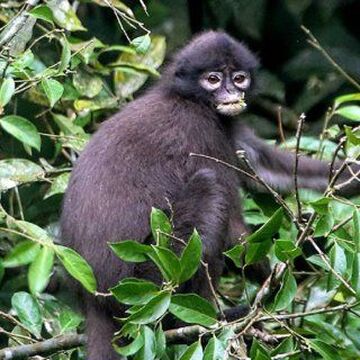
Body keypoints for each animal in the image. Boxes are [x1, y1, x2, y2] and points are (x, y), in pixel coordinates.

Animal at [60, 31, 358, 360]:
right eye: (213, 80)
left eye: (239, 78)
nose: (230, 92)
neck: (187, 98)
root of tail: (95, 300)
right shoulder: (201, 131)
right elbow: (235, 230)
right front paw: (273, 279)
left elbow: (265, 165)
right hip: (148, 281)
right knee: (209, 186)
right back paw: (204, 319)